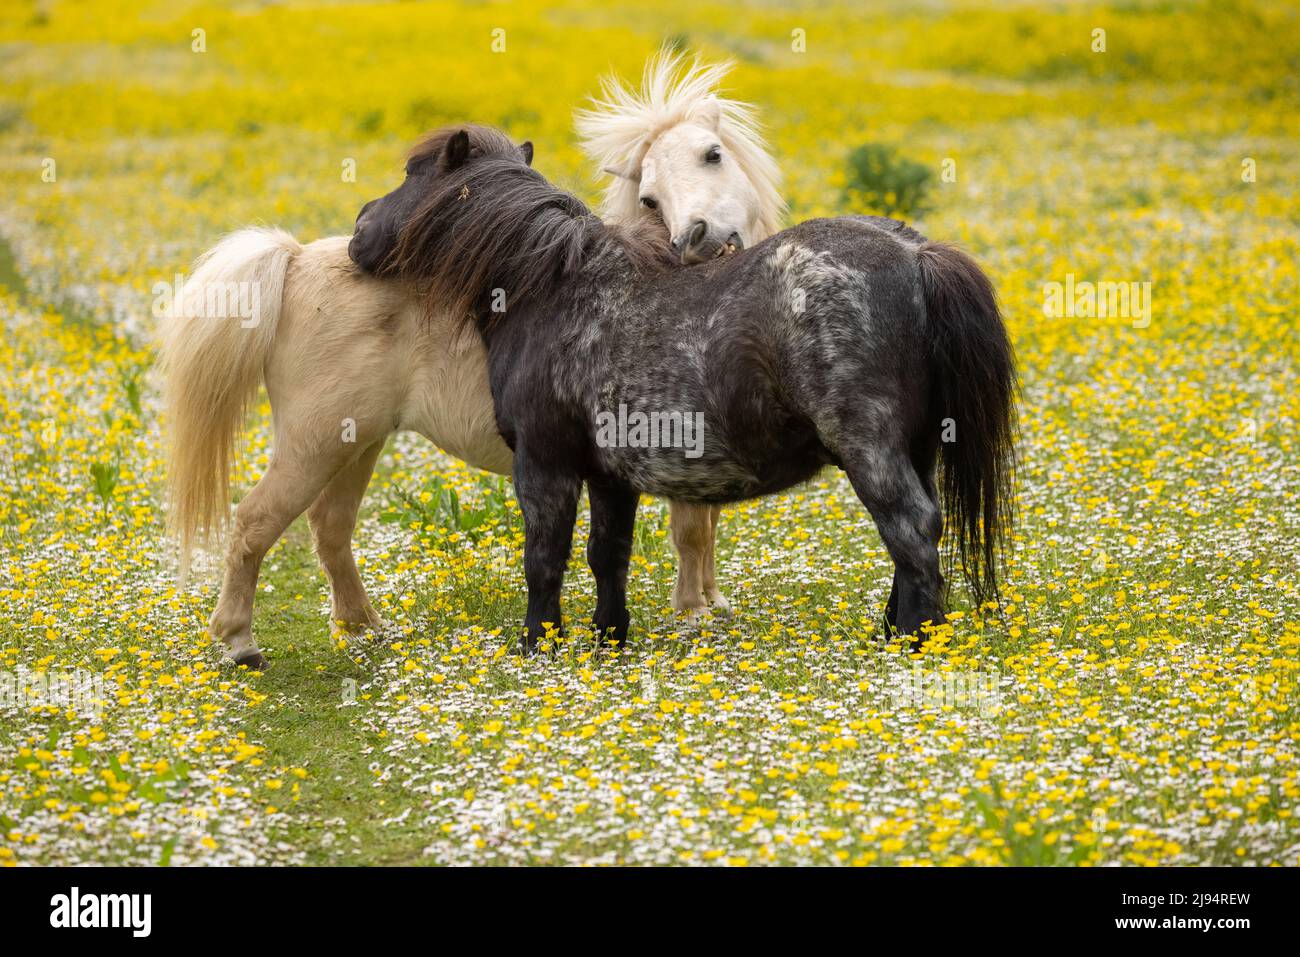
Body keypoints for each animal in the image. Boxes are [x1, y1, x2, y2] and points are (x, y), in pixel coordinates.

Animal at [158, 52, 783, 669]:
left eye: (713, 154)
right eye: (649, 196)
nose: (698, 237)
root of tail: (294, 261)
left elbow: (697, 528)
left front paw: (709, 601)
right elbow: (690, 531)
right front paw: (692, 612)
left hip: (357, 440)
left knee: (330, 528)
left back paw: (364, 627)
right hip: (312, 445)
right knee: (253, 523)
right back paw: (240, 642)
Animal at [351, 125, 1018, 653]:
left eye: (411, 175)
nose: (359, 228)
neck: (555, 289)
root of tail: (915, 253)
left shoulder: (545, 465)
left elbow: (544, 558)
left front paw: (536, 646)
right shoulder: (611, 476)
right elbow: (607, 556)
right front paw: (608, 640)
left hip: (870, 449)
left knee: (911, 527)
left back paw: (915, 642)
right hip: (919, 448)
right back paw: (893, 631)